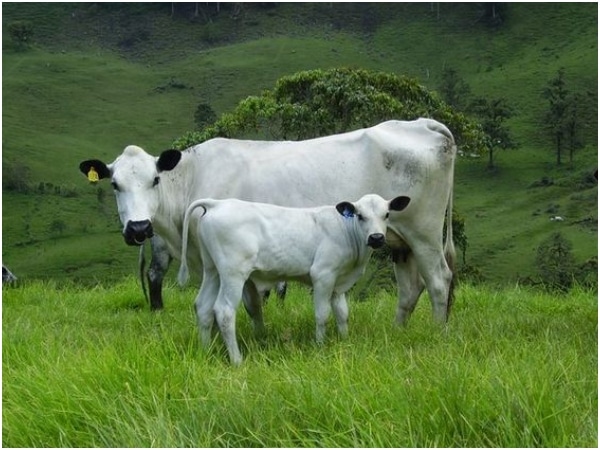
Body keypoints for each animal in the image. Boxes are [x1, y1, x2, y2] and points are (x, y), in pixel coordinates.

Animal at [78, 118, 454, 326]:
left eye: (155, 179)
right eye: (115, 184)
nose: (139, 228)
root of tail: (420, 123)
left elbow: (249, 302)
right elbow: (252, 304)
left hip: (424, 234)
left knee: (439, 281)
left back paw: (438, 333)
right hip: (399, 242)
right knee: (410, 290)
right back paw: (397, 331)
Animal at [178, 193, 412, 366]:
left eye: (387, 214)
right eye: (360, 215)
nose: (376, 238)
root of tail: (218, 203)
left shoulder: (338, 283)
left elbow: (342, 313)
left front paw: (345, 340)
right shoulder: (323, 274)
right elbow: (322, 314)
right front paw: (320, 346)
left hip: (213, 271)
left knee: (203, 307)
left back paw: (206, 350)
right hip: (233, 273)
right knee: (224, 311)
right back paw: (236, 360)